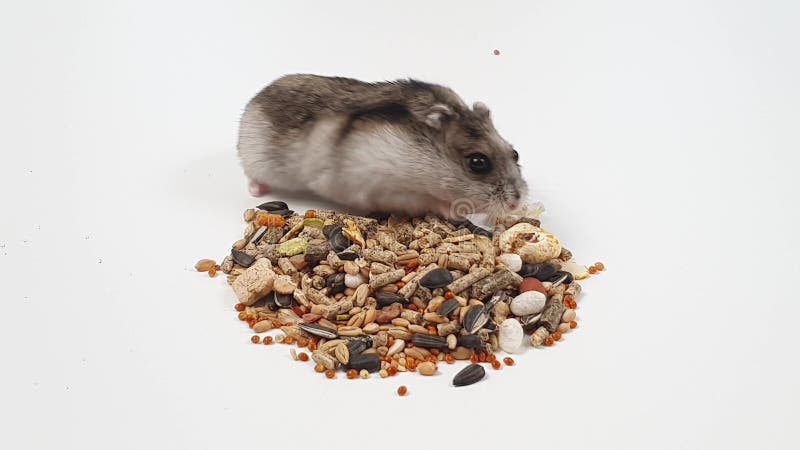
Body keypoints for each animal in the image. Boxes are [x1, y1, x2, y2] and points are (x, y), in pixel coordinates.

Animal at [237, 74, 527, 220]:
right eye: (477, 162)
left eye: (515, 153)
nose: (517, 204)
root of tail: (254, 100)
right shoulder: (384, 188)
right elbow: (429, 202)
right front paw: (455, 211)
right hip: (255, 161)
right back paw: (256, 191)